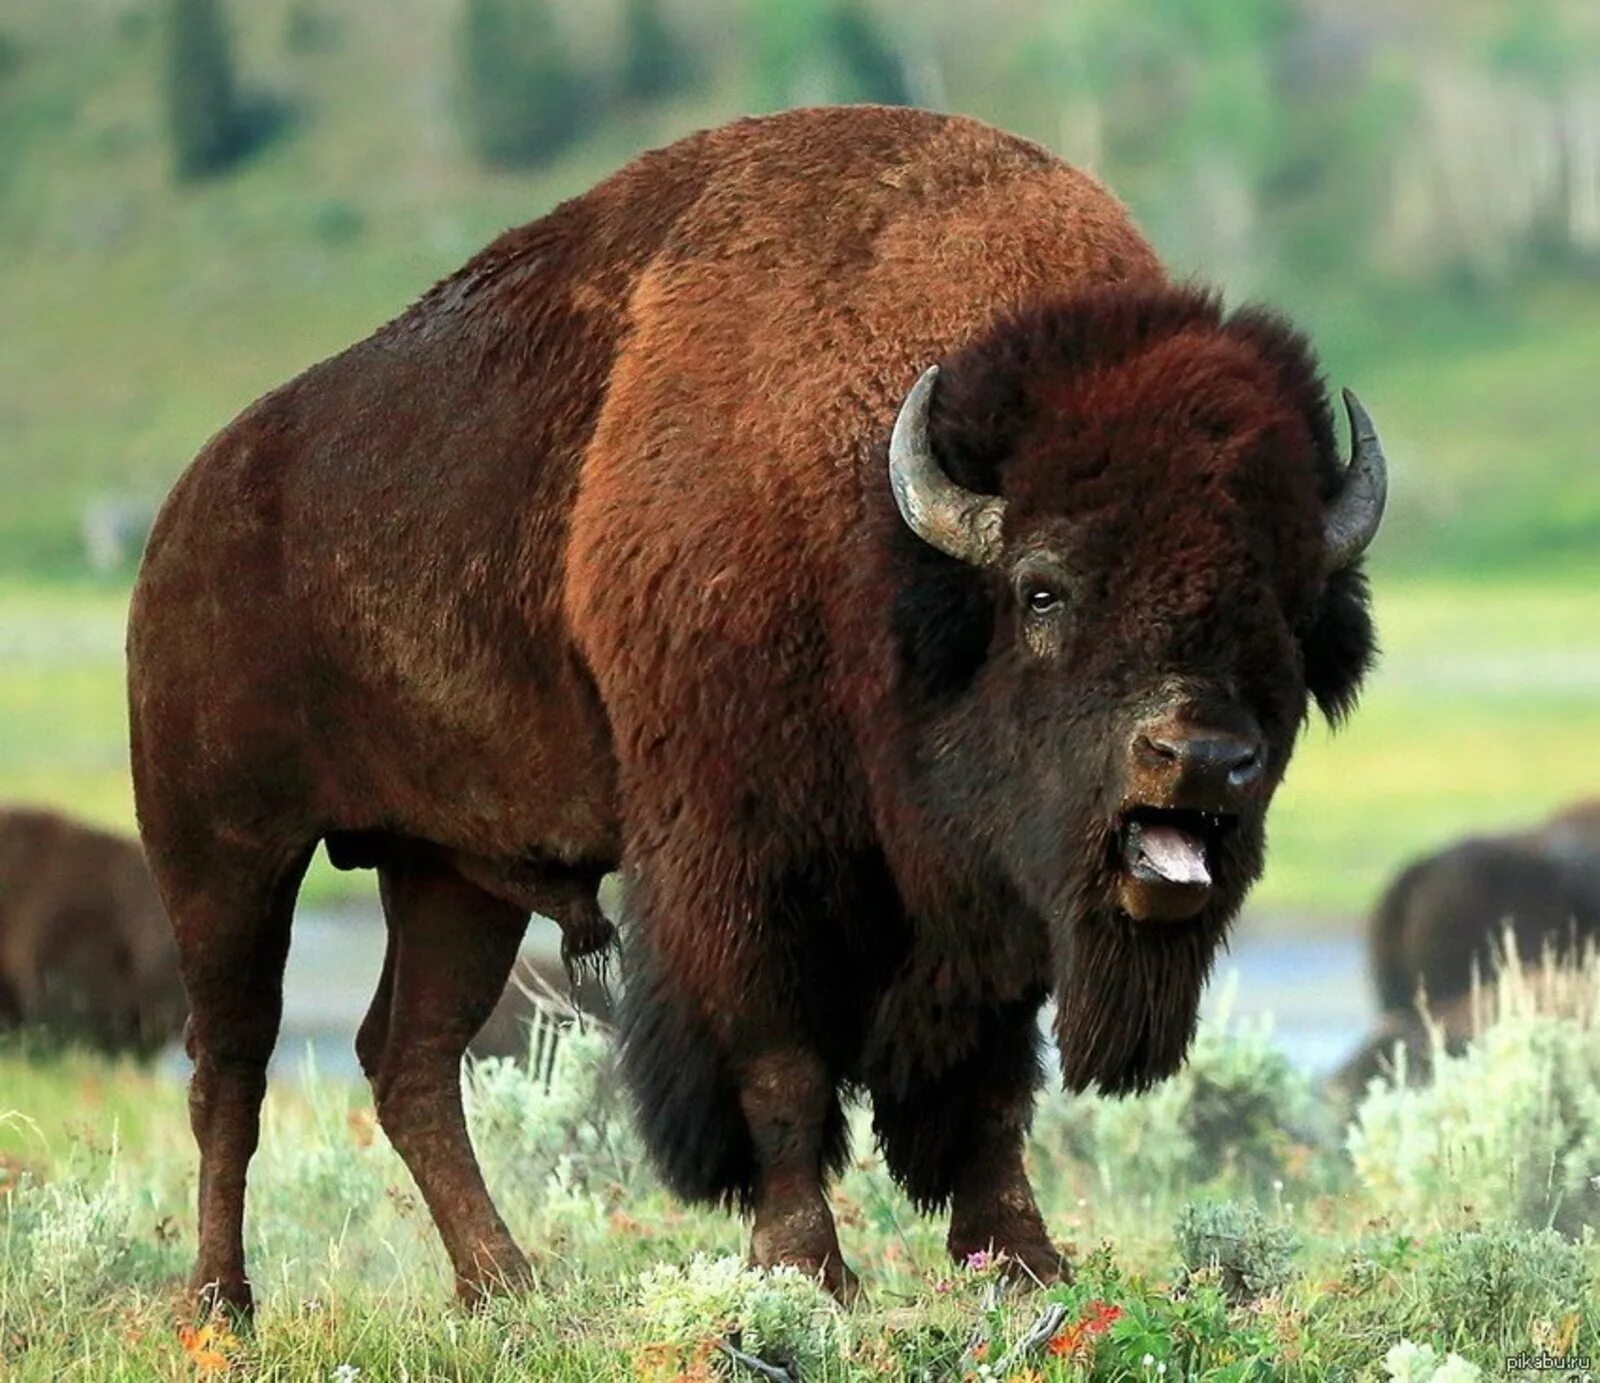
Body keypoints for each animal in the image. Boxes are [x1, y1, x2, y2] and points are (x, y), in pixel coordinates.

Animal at [124, 102, 1382, 1312]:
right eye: (1043, 587)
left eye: (1288, 607)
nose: (1200, 755)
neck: (884, 539)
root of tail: (191, 506)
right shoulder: (745, 861)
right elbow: (778, 1062)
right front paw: (805, 1267)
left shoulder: (991, 912)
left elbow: (988, 1083)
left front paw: (1022, 1261)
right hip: (227, 854)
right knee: (231, 1070)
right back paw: (222, 1305)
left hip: (447, 873)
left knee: (410, 1060)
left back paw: (503, 1288)